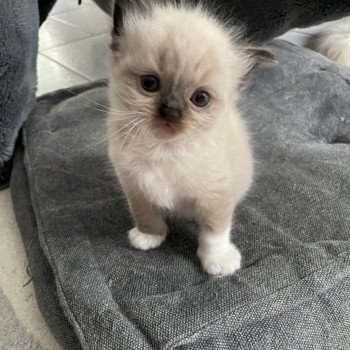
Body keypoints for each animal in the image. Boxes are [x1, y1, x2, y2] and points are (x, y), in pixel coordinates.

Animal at [106, 0, 274, 276]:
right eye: (149, 83)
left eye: (200, 99)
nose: (171, 112)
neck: (164, 149)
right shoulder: (134, 187)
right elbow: (145, 215)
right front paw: (149, 237)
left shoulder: (216, 195)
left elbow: (215, 233)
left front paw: (218, 262)